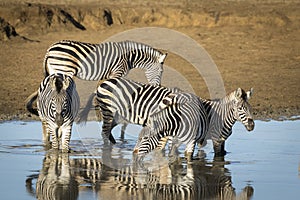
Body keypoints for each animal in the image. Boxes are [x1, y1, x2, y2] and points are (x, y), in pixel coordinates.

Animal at [25, 39, 166, 117]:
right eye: (160, 72)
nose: (158, 86)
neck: (129, 57)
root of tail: (50, 49)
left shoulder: (108, 74)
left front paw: (98, 105)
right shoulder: (117, 72)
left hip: (54, 70)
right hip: (64, 69)